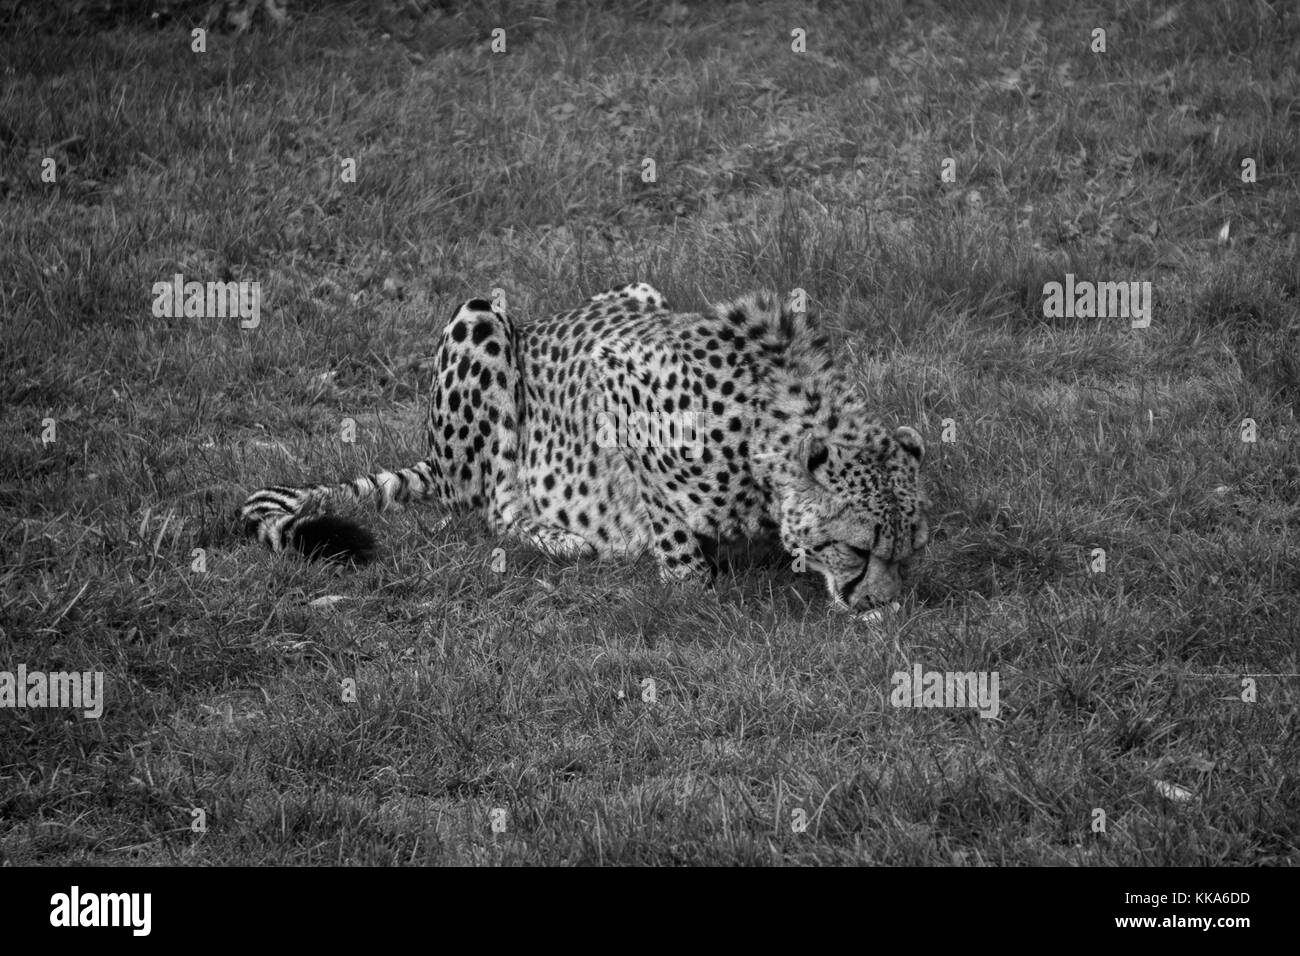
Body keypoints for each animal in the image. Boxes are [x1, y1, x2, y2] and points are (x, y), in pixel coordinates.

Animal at [233, 283, 925, 613]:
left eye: (910, 552)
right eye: (858, 548)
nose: (883, 606)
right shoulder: (617, 381)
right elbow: (668, 521)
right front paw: (687, 580)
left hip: (642, 290)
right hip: (480, 320)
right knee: (493, 509)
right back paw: (564, 539)